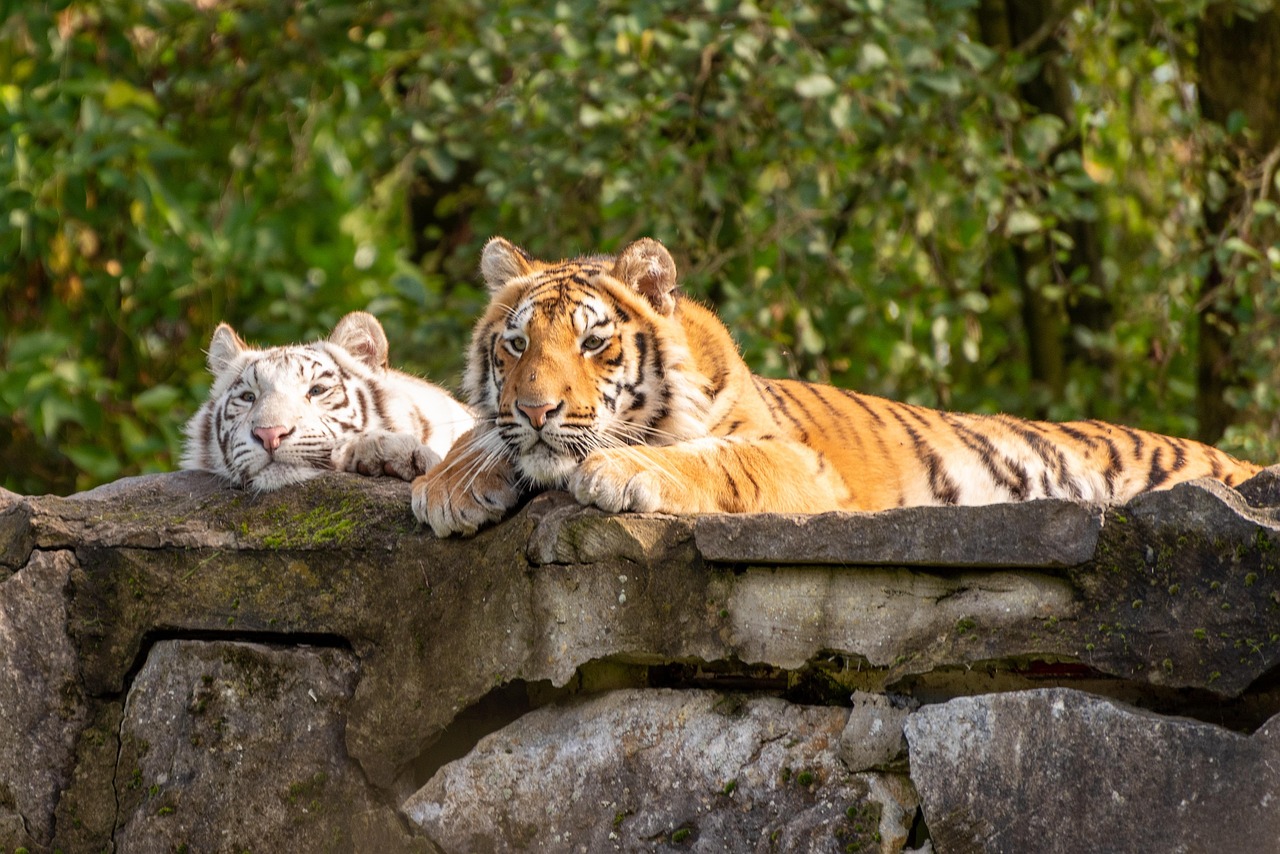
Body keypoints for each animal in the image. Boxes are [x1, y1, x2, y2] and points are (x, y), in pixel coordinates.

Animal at [411, 237, 1264, 537]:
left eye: (595, 343)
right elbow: (475, 432)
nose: (537, 408)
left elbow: (714, 460)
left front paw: (619, 469)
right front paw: (451, 484)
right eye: (516, 345)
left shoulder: (797, 461)